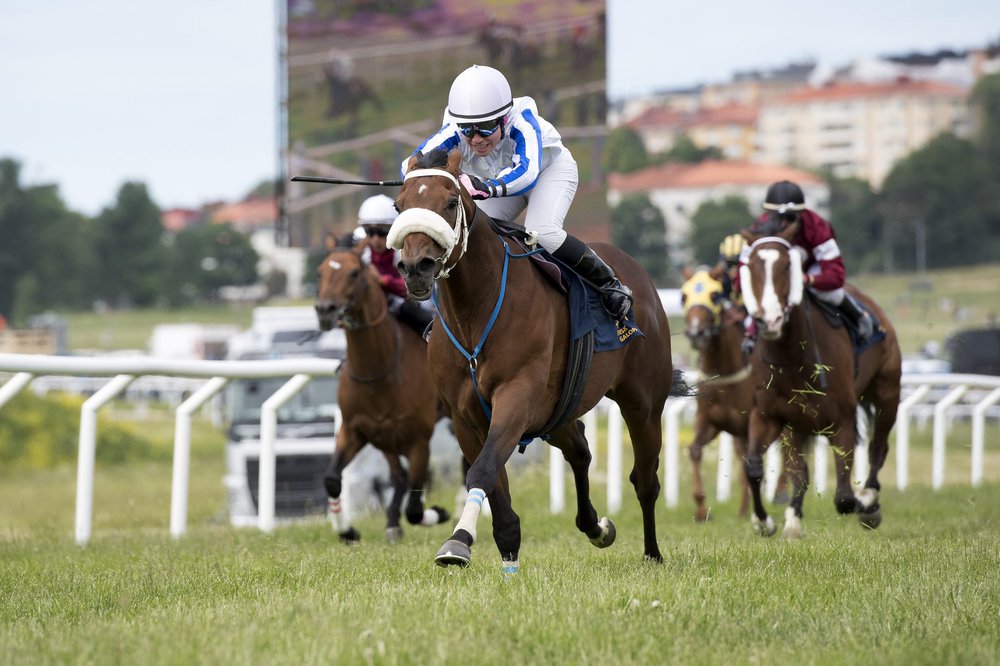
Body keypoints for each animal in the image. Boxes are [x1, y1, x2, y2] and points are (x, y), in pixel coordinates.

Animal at [316, 241, 450, 544]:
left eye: (354, 273)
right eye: (321, 271)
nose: (325, 310)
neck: (377, 371)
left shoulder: (419, 439)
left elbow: (415, 507)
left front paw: (438, 513)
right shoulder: (356, 430)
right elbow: (331, 479)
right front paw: (348, 530)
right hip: (385, 438)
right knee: (398, 477)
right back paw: (391, 522)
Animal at [384, 150, 688, 572]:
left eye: (450, 203)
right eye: (399, 206)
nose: (416, 268)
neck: (475, 312)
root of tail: (636, 273)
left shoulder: (517, 395)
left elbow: (482, 468)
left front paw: (458, 542)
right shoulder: (465, 415)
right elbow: (493, 480)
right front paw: (503, 544)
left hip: (641, 402)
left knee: (644, 479)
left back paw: (652, 553)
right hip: (557, 410)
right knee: (580, 448)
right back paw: (596, 527)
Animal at [740, 231, 904, 536]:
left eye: (787, 267)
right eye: (751, 267)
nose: (769, 320)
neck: (792, 357)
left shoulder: (842, 421)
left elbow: (844, 498)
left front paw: (864, 503)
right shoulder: (769, 415)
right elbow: (754, 467)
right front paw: (764, 521)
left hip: (887, 392)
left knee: (878, 448)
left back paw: (869, 498)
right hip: (797, 425)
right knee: (799, 471)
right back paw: (793, 519)